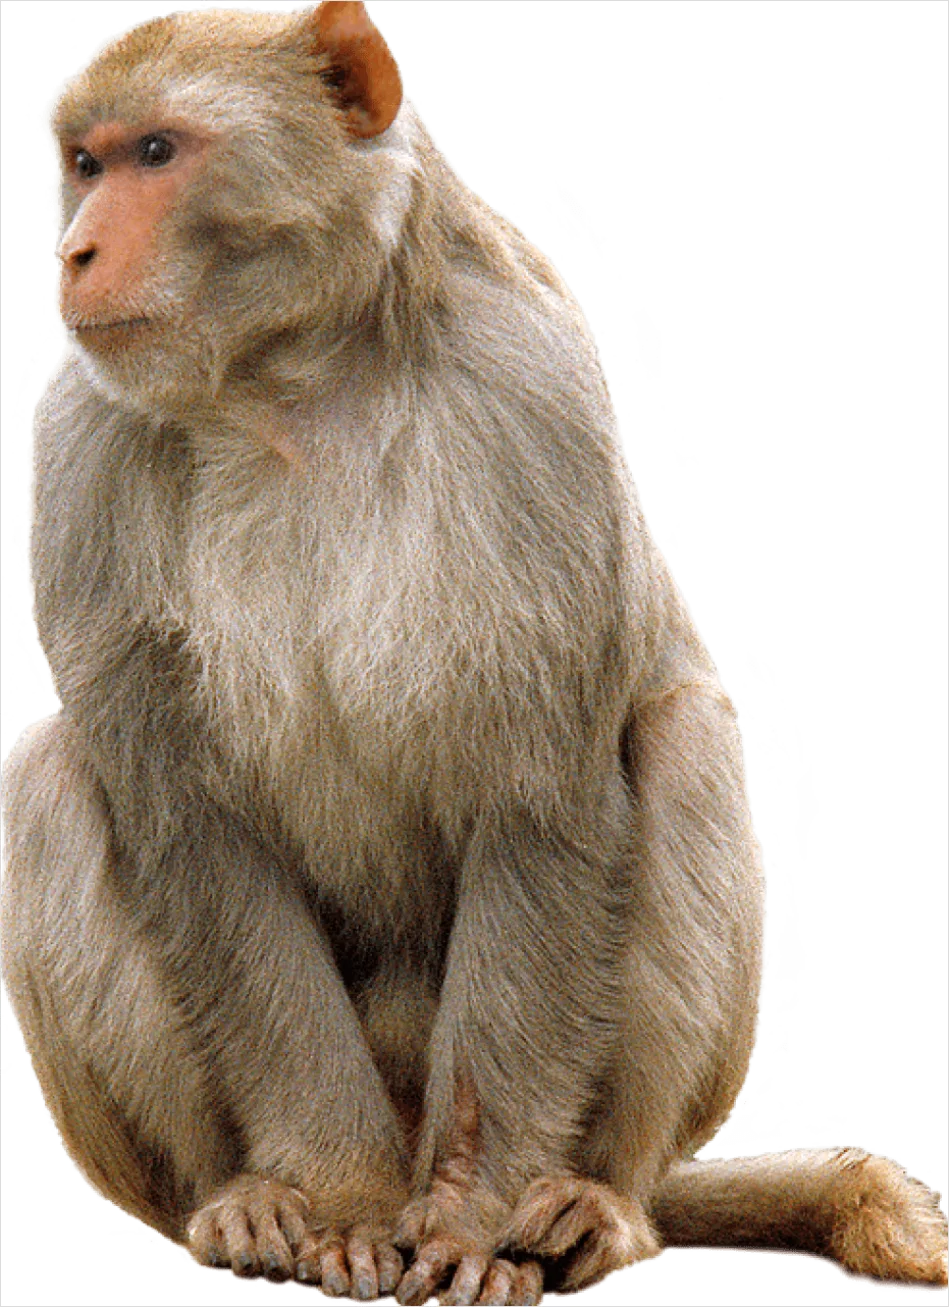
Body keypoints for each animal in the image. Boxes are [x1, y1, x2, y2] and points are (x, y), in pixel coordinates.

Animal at [2, 4, 945, 1304]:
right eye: (85, 162)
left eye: (157, 152)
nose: (77, 252)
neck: (293, 380)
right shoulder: (83, 445)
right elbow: (196, 831)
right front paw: (338, 1199)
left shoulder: (526, 402)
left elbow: (538, 803)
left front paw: (466, 1216)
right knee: (49, 775)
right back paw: (239, 1199)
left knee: (680, 739)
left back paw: (593, 1203)